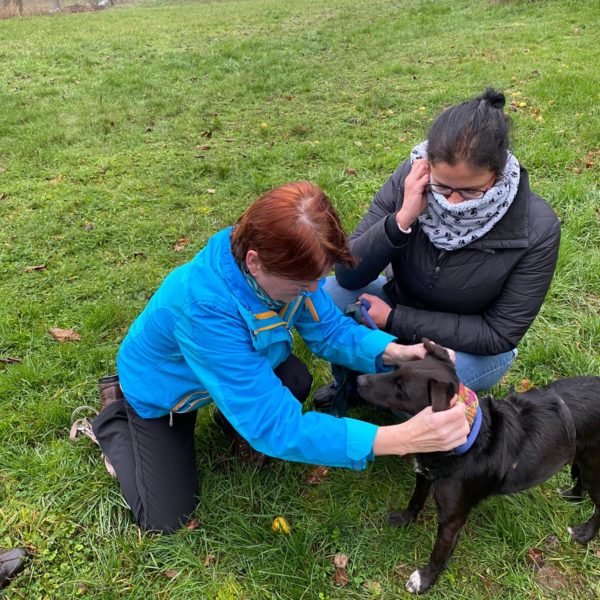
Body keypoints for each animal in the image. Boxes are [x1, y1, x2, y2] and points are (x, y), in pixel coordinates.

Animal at [356, 339, 600, 594]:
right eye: (395, 370)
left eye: (401, 389)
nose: (359, 380)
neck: (465, 439)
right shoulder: (424, 475)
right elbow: (416, 499)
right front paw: (406, 518)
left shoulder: (452, 518)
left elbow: (439, 552)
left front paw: (425, 579)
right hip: (584, 458)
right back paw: (573, 495)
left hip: (594, 467)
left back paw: (584, 533)